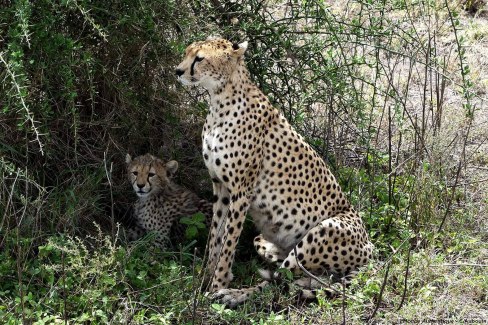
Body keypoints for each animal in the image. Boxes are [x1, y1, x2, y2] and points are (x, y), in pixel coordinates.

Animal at [175, 37, 374, 304]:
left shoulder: (242, 191)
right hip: (269, 241)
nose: (178, 71)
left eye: (199, 58)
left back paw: (234, 295)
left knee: (278, 283)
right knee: (295, 275)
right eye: (187, 53)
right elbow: (215, 238)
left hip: (323, 230)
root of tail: (371, 250)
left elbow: (228, 242)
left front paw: (217, 285)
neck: (219, 99)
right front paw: (204, 277)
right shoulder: (221, 187)